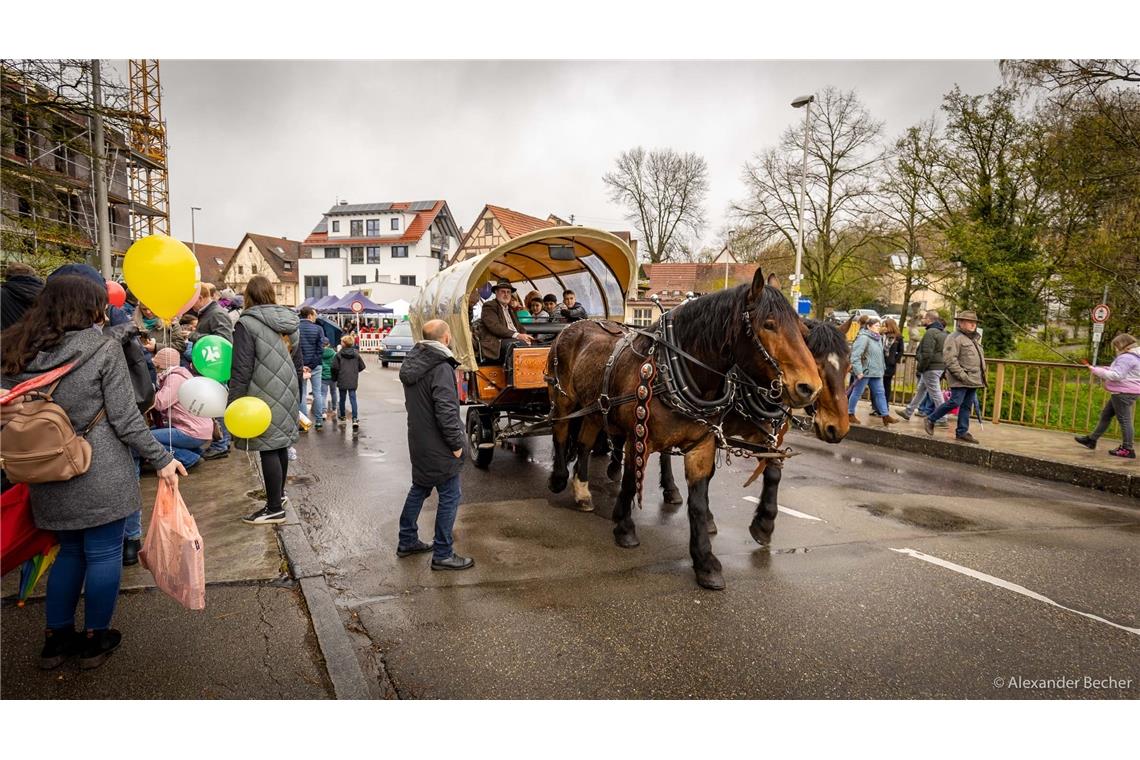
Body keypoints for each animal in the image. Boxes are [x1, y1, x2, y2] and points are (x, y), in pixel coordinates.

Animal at [544, 270, 820, 592]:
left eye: (803, 328)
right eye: (769, 324)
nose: (810, 387)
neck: (673, 370)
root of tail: (576, 325)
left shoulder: (703, 445)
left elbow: (699, 503)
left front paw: (705, 561)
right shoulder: (637, 438)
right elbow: (630, 481)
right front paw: (624, 527)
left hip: (595, 408)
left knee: (585, 443)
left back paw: (582, 490)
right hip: (563, 399)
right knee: (561, 431)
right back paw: (559, 478)